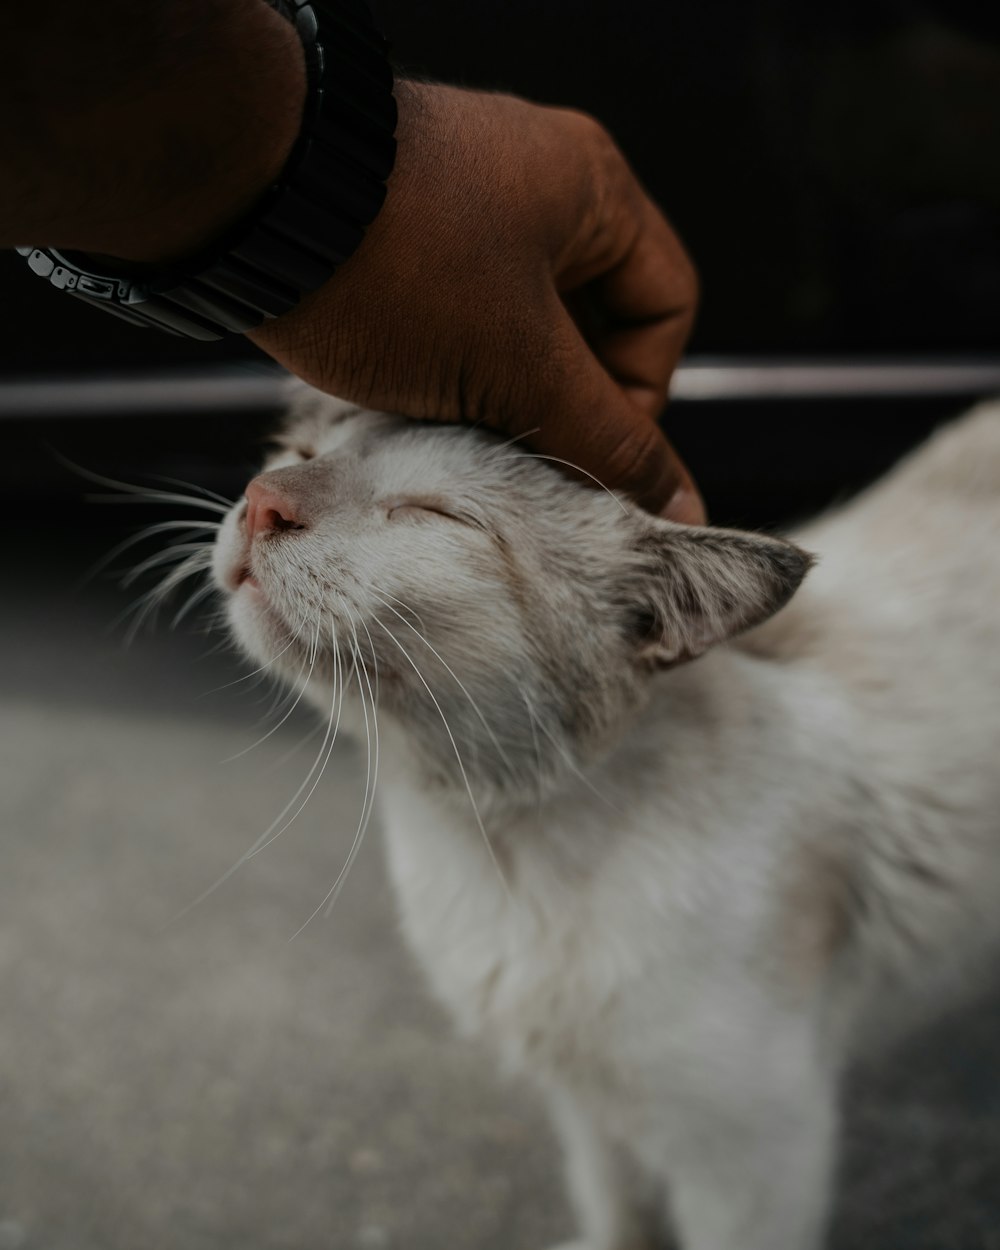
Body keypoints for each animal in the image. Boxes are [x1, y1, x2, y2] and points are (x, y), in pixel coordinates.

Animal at [211, 392, 1000, 1250]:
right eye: (299, 452)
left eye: (431, 513)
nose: (264, 499)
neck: (498, 851)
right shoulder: (588, 1101)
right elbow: (615, 1205)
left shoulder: (754, 1151)